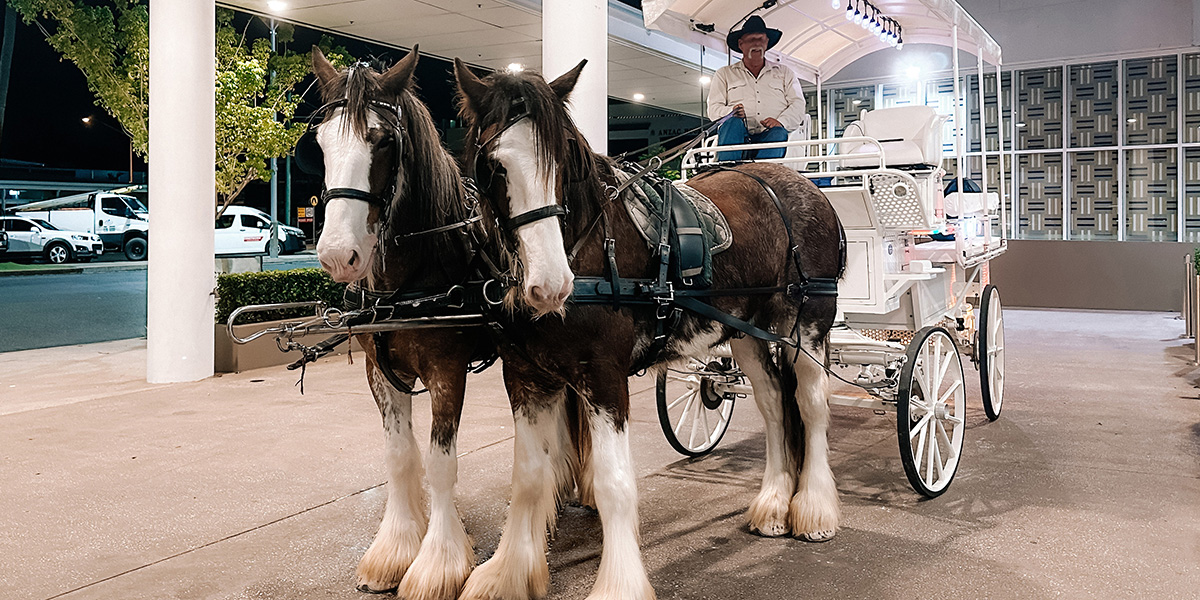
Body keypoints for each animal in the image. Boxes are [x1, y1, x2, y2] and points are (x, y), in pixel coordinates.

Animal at [453, 57, 849, 600]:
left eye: (567, 160)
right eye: (494, 165)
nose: (551, 285)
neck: (591, 246)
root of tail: (802, 185)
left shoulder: (603, 376)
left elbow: (614, 483)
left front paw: (618, 582)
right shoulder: (525, 375)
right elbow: (530, 476)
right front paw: (508, 572)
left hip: (807, 325)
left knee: (810, 406)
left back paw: (813, 507)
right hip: (748, 333)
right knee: (772, 406)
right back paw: (772, 503)